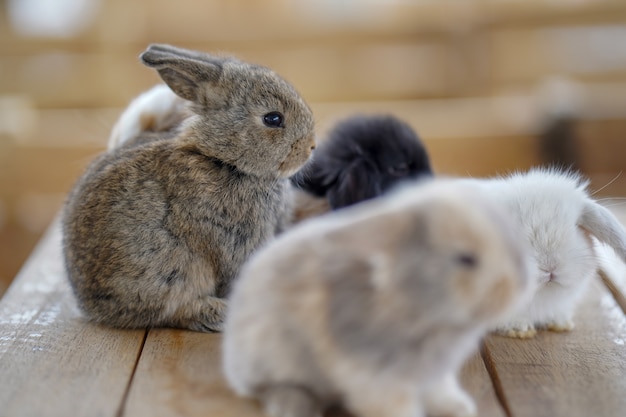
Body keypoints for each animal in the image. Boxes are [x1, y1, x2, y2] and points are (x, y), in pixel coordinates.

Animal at [61, 44, 314, 332]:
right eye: (273, 118)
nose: (311, 146)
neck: (223, 160)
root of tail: (88, 302)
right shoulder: (237, 244)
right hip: (168, 279)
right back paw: (217, 313)